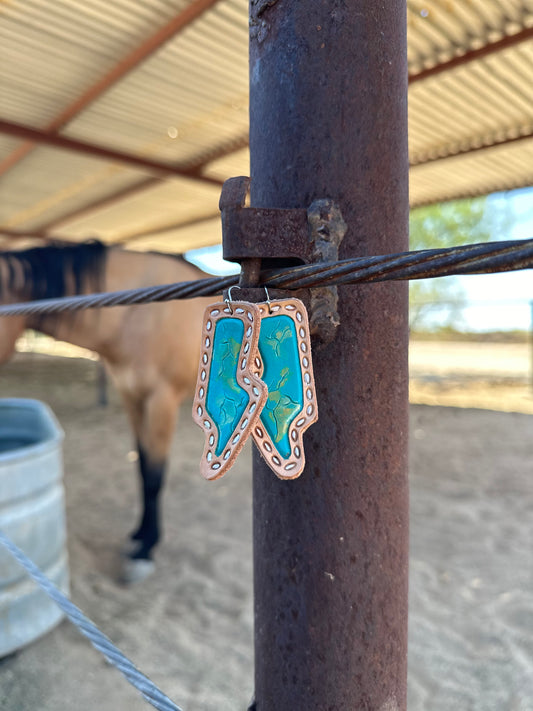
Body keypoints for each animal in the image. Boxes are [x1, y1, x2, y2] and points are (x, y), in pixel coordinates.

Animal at [1, 242, 216, 580]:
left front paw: (144, 551)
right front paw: (139, 535)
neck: (138, 314)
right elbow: (142, 468)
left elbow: (154, 476)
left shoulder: (161, 401)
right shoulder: (132, 398)